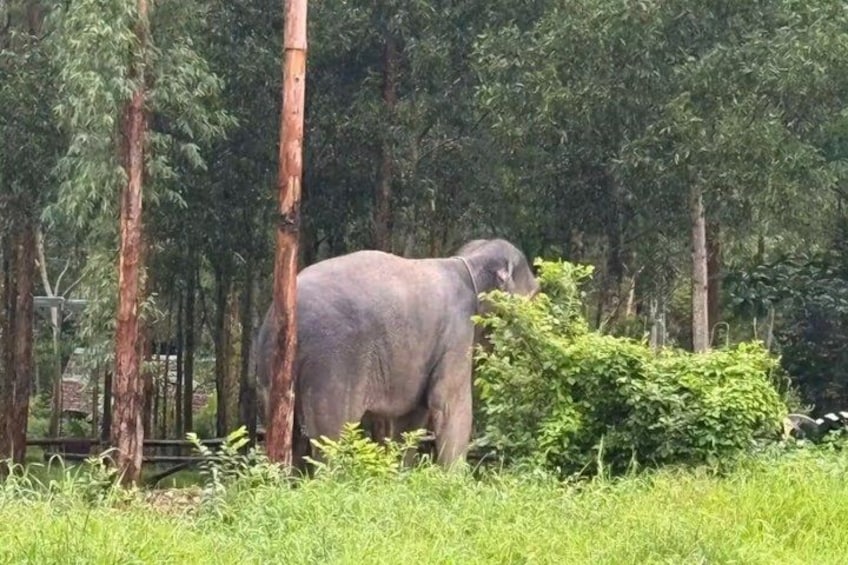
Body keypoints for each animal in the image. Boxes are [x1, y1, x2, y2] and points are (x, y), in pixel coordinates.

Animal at [254, 238, 540, 470]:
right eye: (535, 294)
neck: (468, 260)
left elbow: (412, 416)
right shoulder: (456, 333)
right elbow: (448, 404)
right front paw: (455, 481)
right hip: (330, 365)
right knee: (332, 438)